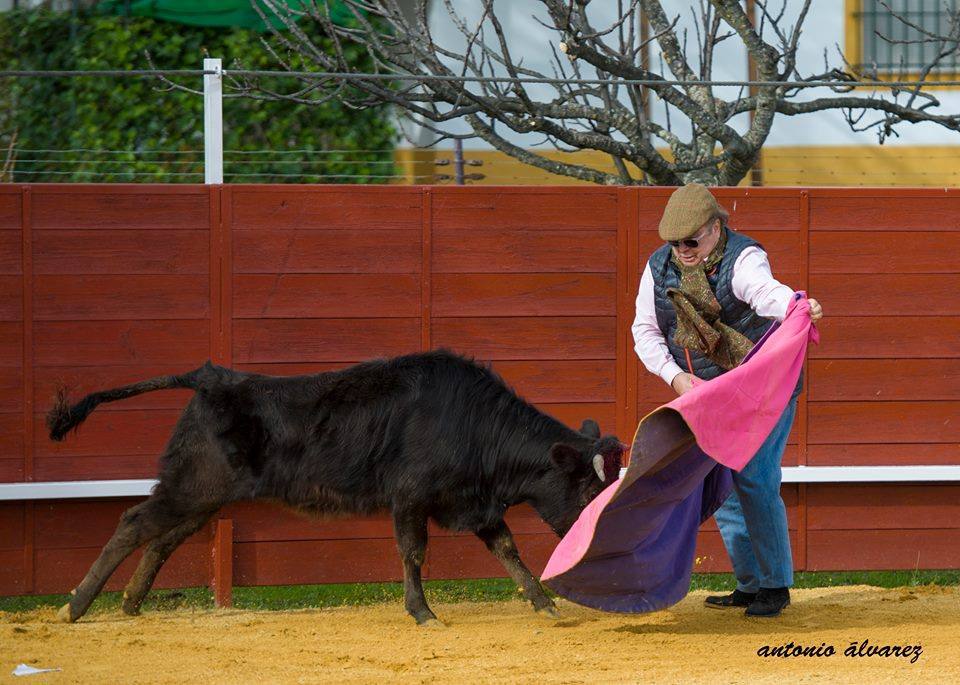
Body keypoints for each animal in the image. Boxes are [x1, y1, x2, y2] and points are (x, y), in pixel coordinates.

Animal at [50, 350, 624, 624]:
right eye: (585, 491)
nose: (599, 545)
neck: (476, 423)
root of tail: (209, 377)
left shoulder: (472, 504)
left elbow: (508, 549)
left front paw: (544, 605)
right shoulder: (410, 497)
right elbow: (413, 553)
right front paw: (423, 613)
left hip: (207, 496)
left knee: (164, 538)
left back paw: (130, 604)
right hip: (194, 485)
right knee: (134, 524)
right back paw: (75, 607)